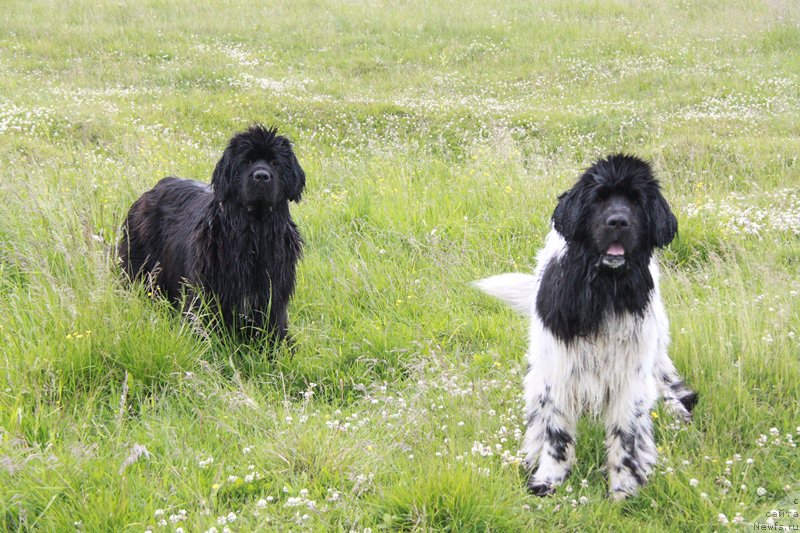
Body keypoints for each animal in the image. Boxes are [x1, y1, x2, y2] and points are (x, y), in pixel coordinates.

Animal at [478, 154, 696, 498]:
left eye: (636, 201)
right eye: (599, 199)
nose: (618, 222)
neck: (603, 290)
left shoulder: (629, 374)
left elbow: (626, 434)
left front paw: (623, 489)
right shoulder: (558, 368)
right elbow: (555, 432)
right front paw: (547, 479)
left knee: (668, 383)